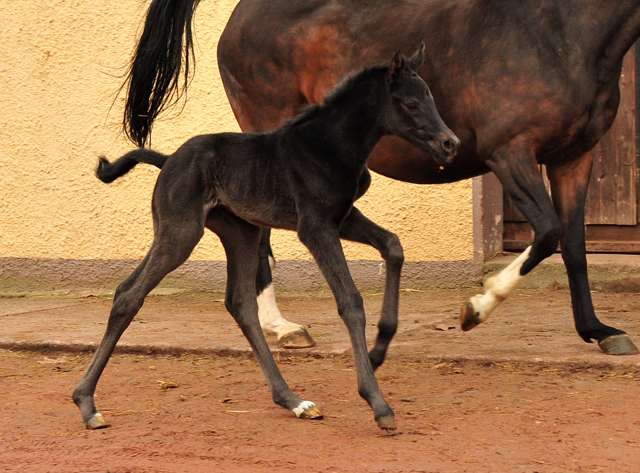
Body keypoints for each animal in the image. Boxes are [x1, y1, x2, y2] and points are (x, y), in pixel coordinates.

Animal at [72, 46, 458, 430]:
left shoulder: (343, 218)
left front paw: (380, 347)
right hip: (182, 231)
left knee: (235, 303)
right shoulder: (315, 227)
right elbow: (350, 302)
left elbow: (393, 246)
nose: (450, 143)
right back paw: (87, 404)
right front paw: (378, 403)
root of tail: (166, 160)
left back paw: (295, 401)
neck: (331, 145)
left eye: (431, 99)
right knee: (130, 297)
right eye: (412, 104)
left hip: (238, 232)